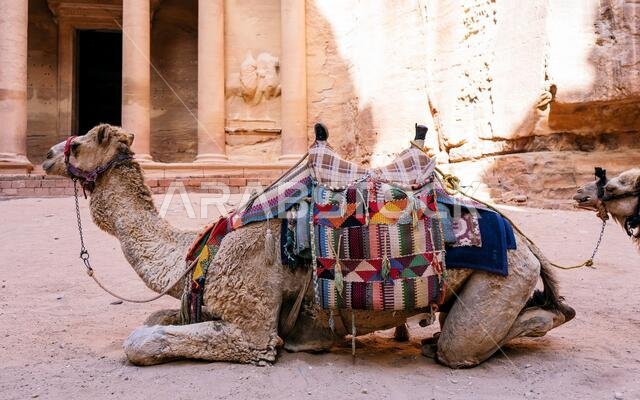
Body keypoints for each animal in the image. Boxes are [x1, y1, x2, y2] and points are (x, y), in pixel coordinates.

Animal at [43, 124, 575, 368]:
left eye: (82, 142)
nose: (47, 155)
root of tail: (527, 242)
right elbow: (157, 317)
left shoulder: (250, 329)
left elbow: (143, 340)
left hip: (504, 277)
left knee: (464, 344)